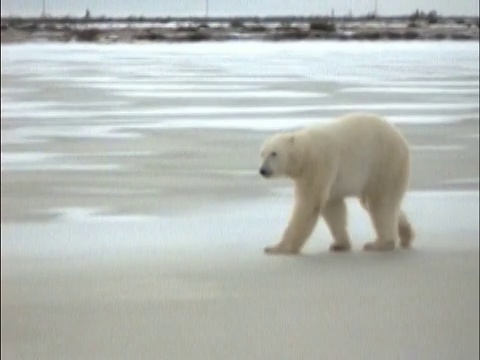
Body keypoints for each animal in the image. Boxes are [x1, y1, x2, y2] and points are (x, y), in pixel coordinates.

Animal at [260, 111, 414, 255]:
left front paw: (278, 248)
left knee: (380, 202)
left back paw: (379, 244)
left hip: (384, 163)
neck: (304, 153)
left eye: (274, 153)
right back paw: (406, 234)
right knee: (380, 203)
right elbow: (332, 206)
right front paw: (340, 244)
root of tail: (401, 138)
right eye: (262, 154)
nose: (263, 170)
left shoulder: (318, 163)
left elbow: (309, 202)